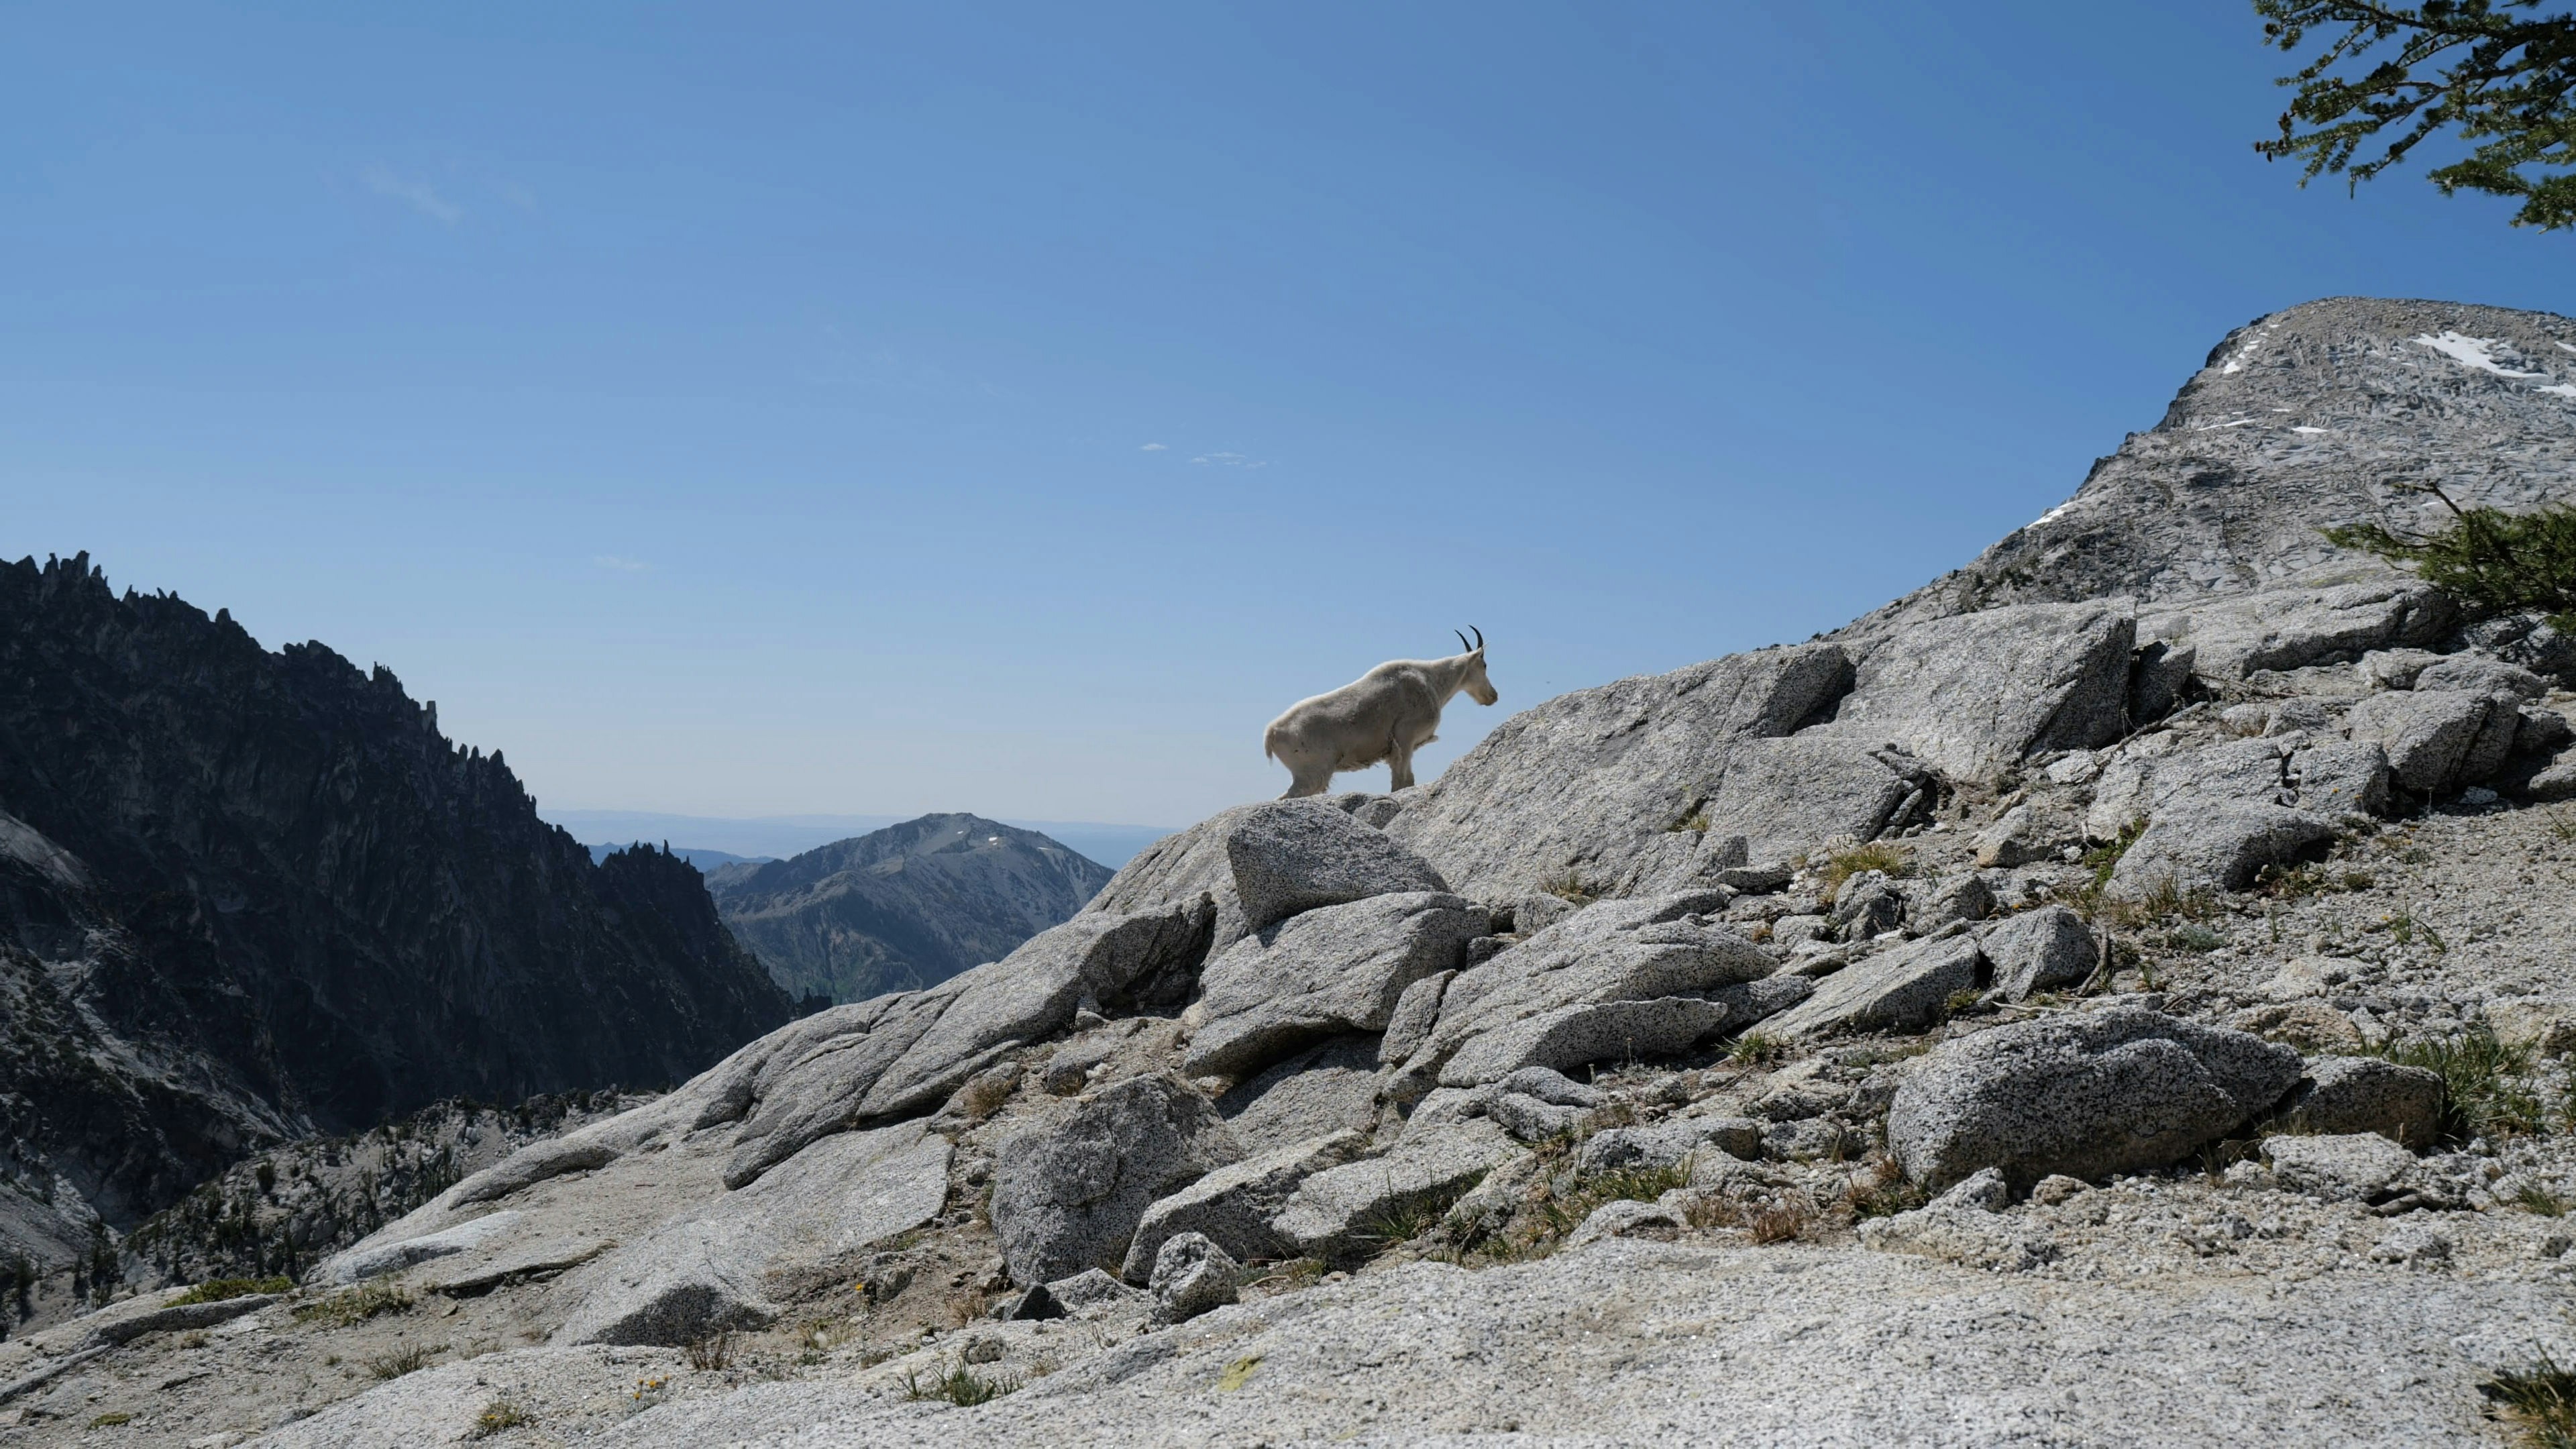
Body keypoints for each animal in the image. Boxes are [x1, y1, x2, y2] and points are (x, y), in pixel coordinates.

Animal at [1264, 628, 1498, 798]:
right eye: (1485, 664)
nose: (1493, 696)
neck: (1431, 680)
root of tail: (1272, 733)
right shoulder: (1405, 739)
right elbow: (1401, 783)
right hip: (1312, 773)